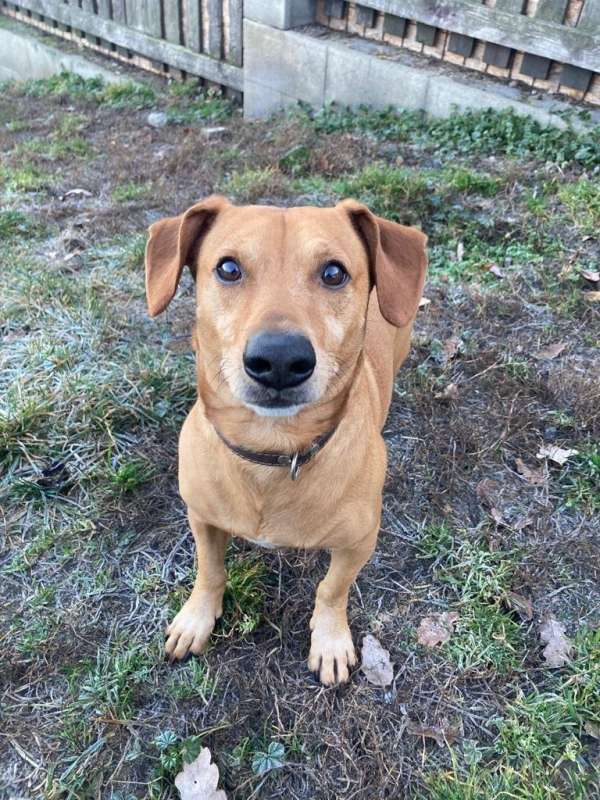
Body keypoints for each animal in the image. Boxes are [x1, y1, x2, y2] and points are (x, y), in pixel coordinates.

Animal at [145, 196, 427, 685]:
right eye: (228, 268)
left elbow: (332, 588)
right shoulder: (201, 517)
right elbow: (210, 570)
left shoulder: (359, 542)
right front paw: (197, 618)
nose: (279, 359)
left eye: (333, 272)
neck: (272, 450)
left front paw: (330, 640)